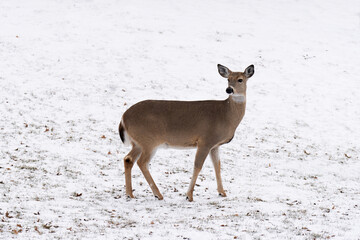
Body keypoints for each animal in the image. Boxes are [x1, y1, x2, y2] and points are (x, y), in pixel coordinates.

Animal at [119, 63, 255, 201]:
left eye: (240, 79)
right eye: (228, 79)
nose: (229, 90)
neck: (226, 115)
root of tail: (124, 117)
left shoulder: (215, 145)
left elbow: (217, 166)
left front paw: (222, 192)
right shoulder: (205, 140)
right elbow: (198, 166)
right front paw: (189, 195)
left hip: (138, 142)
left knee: (128, 159)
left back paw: (130, 194)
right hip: (149, 140)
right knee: (142, 162)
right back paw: (158, 194)